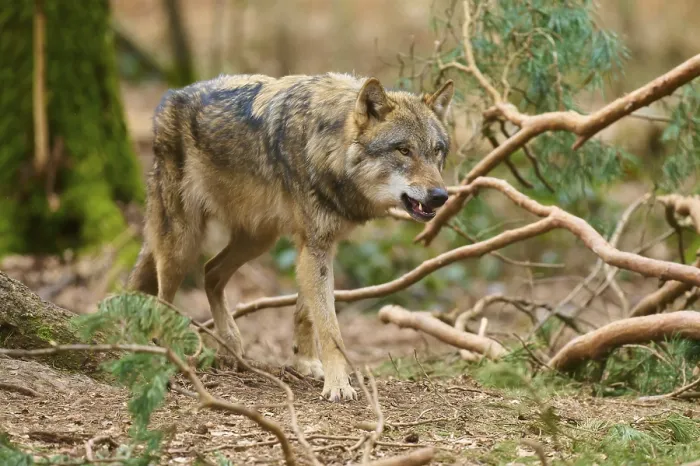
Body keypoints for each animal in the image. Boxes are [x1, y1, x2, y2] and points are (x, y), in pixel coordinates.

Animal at [127, 72, 454, 401]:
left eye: (437, 151)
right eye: (404, 150)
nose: (441, 196)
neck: (329, 145)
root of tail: (171, 96)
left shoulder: (316, 245)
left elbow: (306, 313)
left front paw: (306, 363)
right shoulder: (315, 247)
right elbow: (330, 327)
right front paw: (338, 384)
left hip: (259, 240)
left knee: (210, 273)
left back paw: (231, 343)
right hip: (183, 245)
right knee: (164, 297)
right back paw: (166, 350)